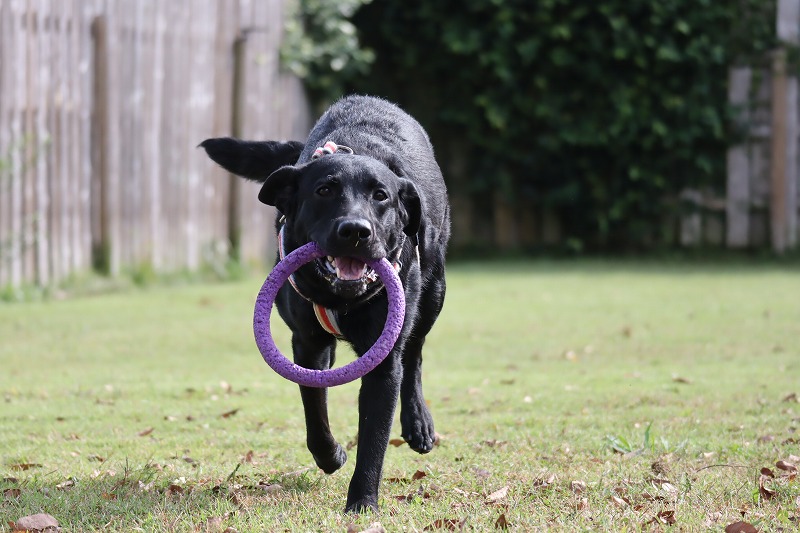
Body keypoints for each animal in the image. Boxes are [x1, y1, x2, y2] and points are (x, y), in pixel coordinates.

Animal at [201, 95, 450, 512]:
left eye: (381, 196)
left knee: (414, 353)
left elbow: (374, 438)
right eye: (324, 191)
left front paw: (362, 503)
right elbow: (315, 413)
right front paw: (331, 456)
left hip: (434, 293)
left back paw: (418, 424)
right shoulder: (307, 344)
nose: (355, 231)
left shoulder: (383, 360)